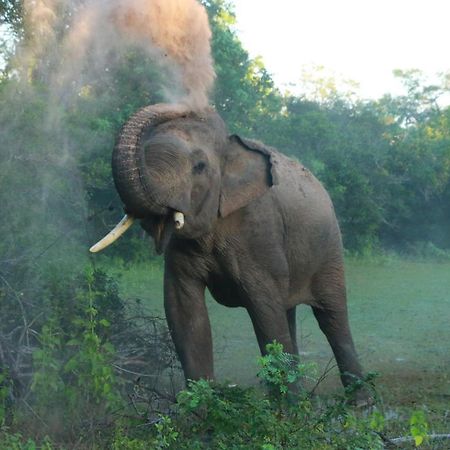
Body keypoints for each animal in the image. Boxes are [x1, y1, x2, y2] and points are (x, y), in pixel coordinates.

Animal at [90, 102, 366, 394]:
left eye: (199, 166)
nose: (189, 107)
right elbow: (184, 312)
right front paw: (201, 404)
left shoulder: (259, 232)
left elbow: (265, 310)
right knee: (288, 311)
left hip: (330, 248)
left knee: (331, 317)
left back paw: (359, 400)